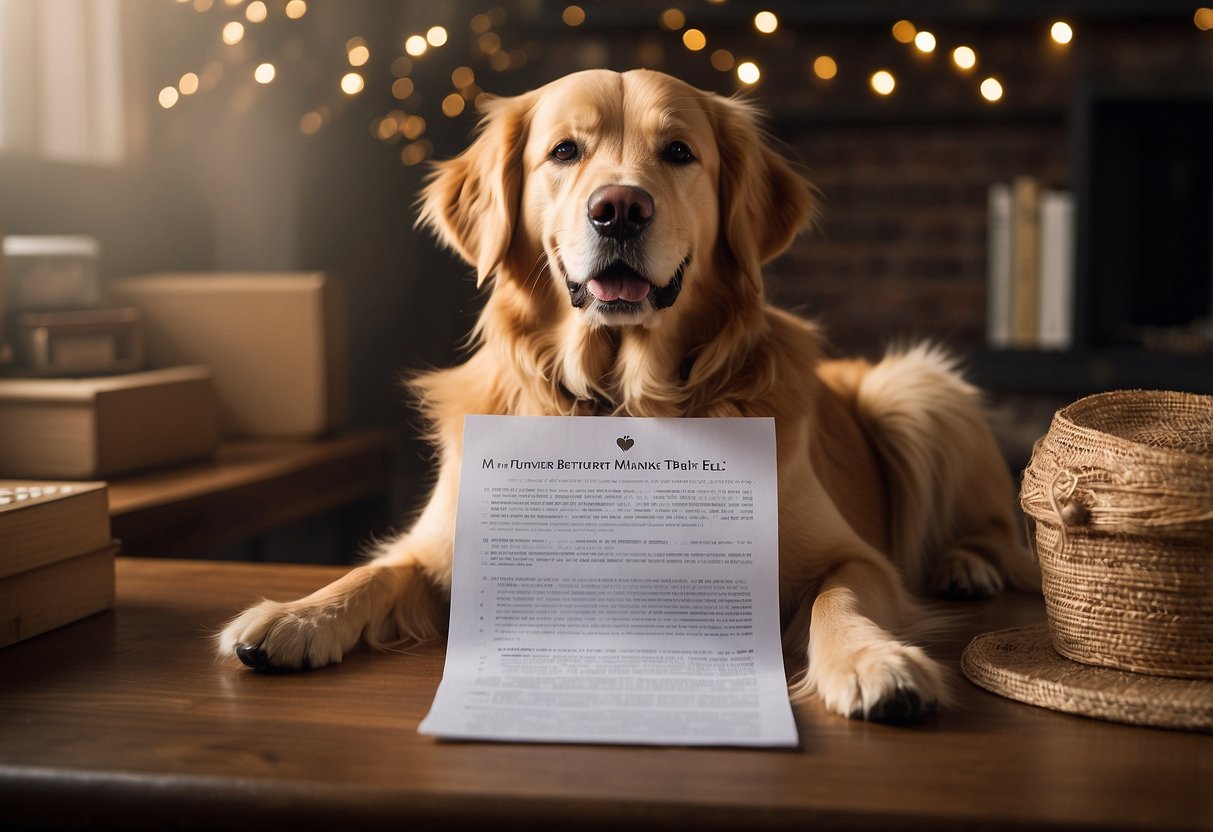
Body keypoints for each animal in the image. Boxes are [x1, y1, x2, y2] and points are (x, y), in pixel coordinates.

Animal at [215, 70, 1033, 722]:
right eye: (563, 152)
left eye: (678, 152)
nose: (618, 208)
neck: (621, 393)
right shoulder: (443, 542)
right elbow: (377, 570)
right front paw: (296, 616)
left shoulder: (852, 555)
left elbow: (843, 598)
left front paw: (873, 662)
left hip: (912, 389)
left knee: (996, 530)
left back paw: (966, 564)